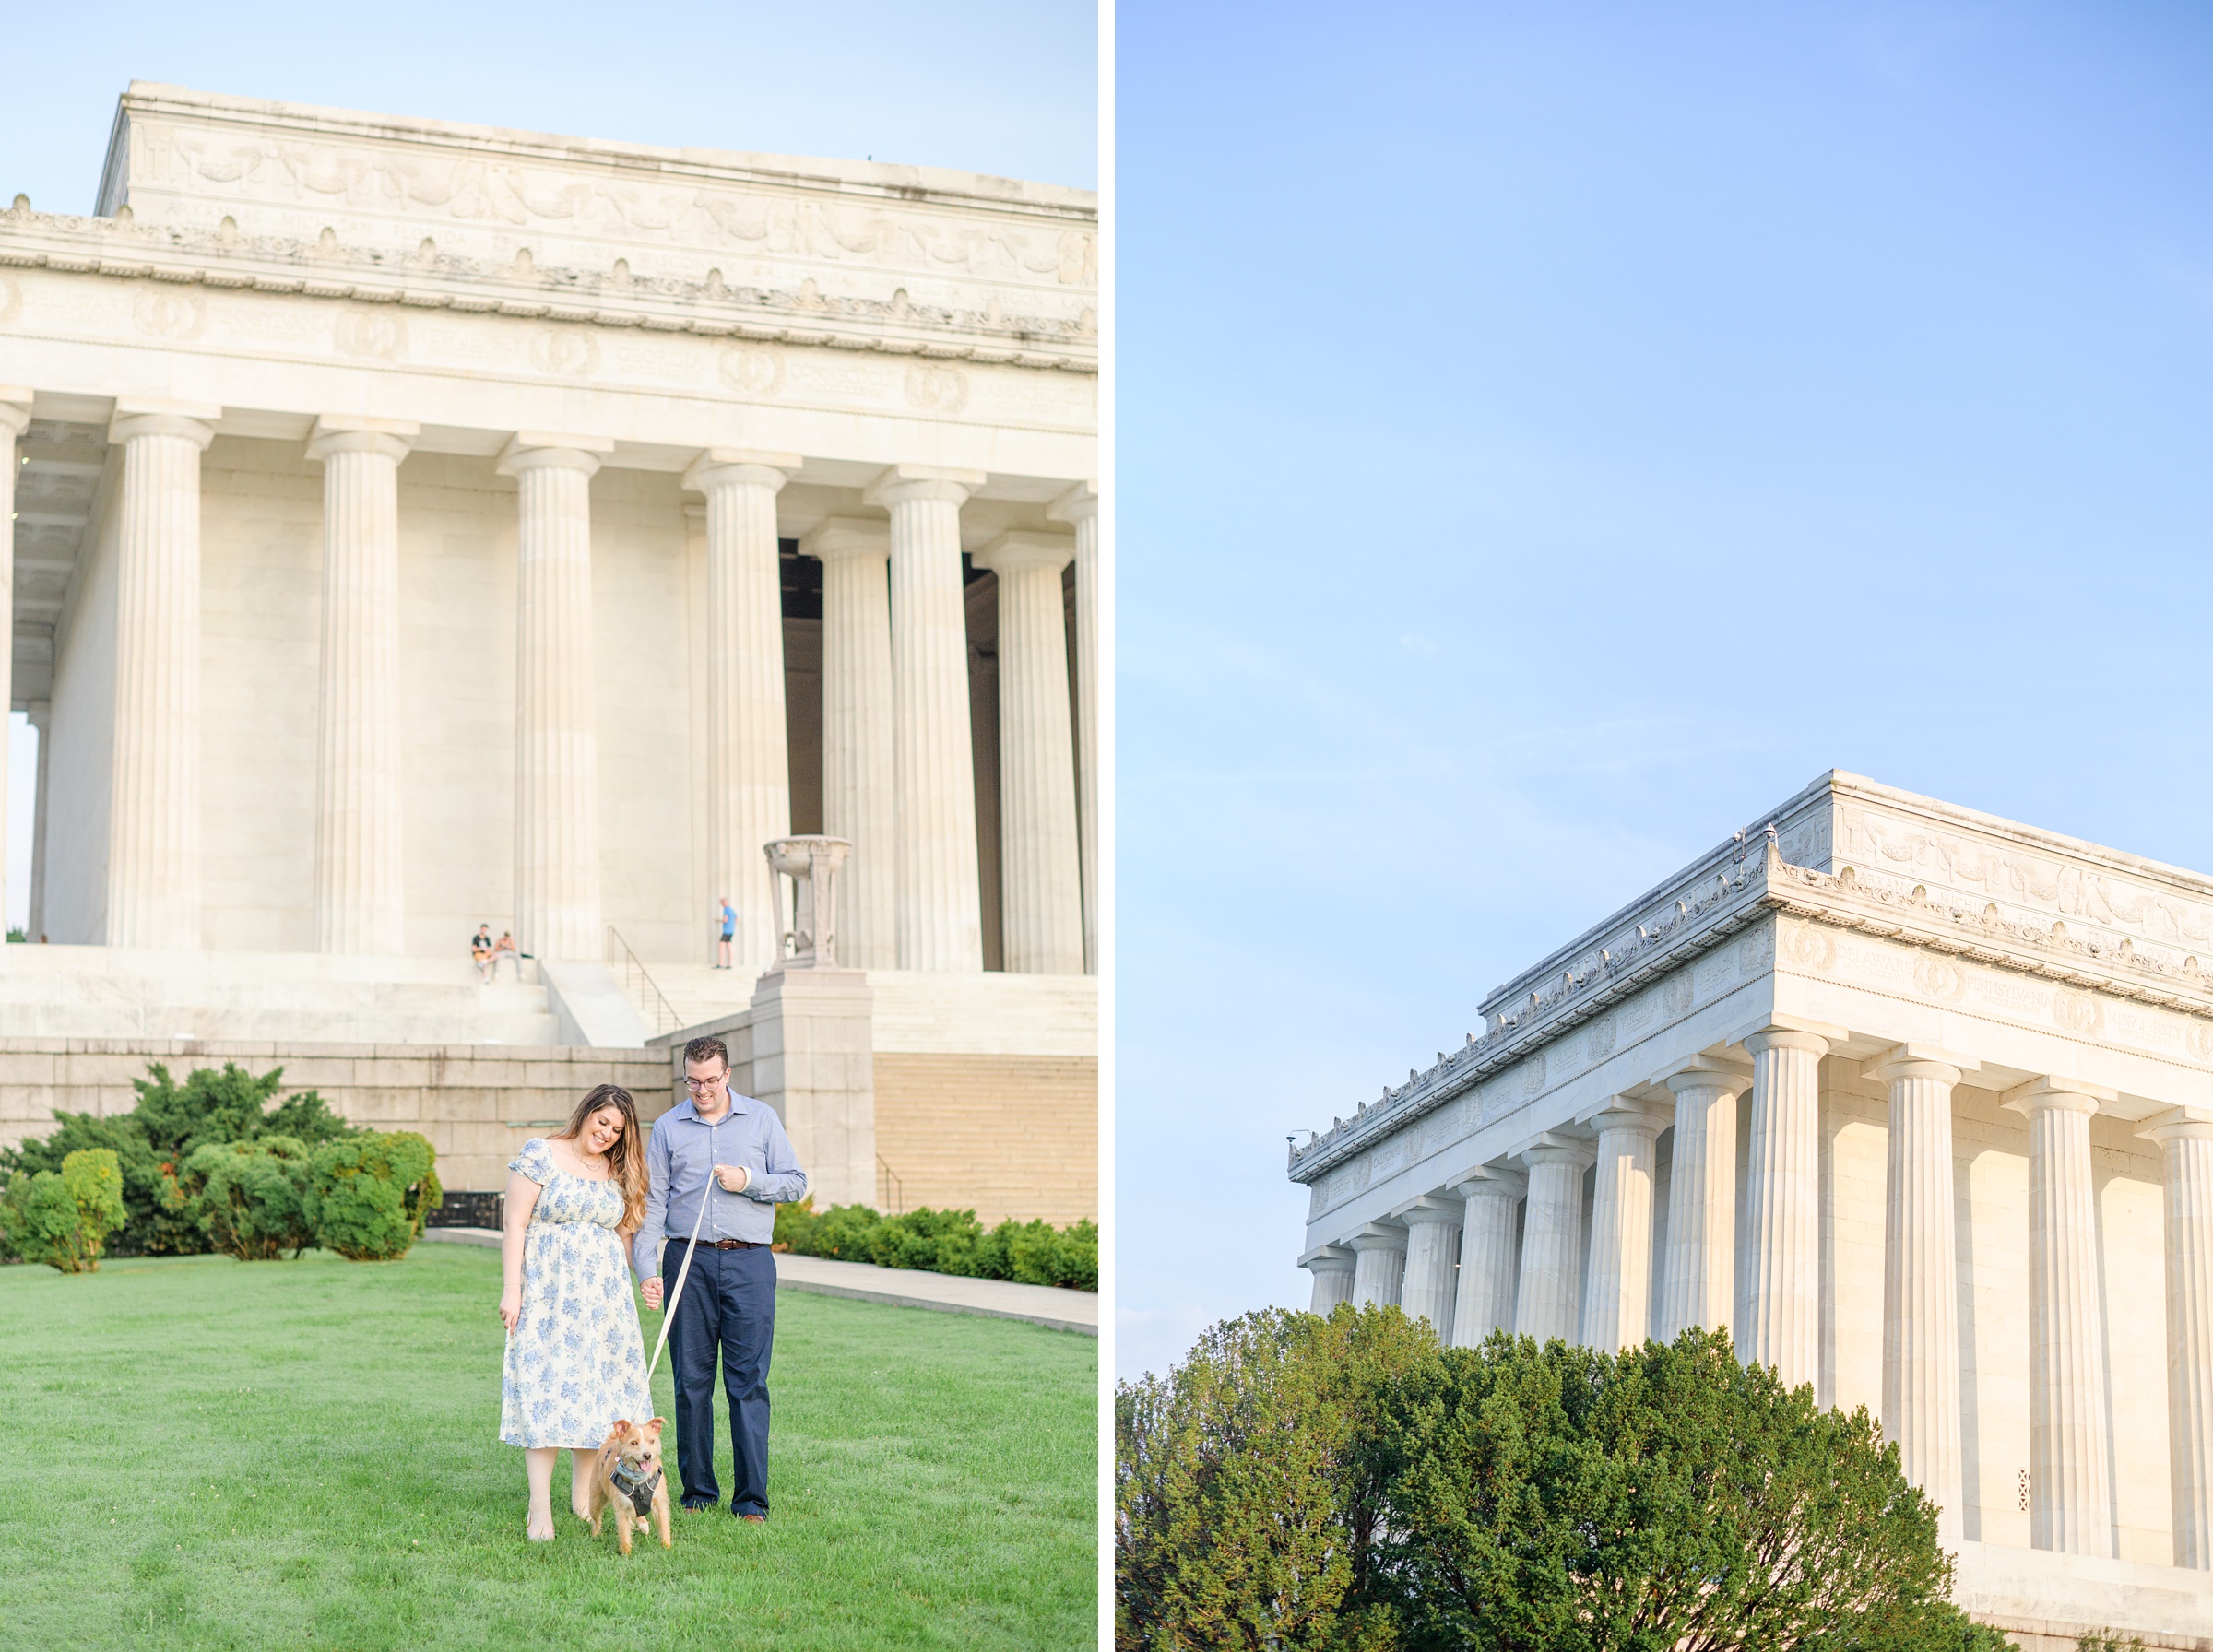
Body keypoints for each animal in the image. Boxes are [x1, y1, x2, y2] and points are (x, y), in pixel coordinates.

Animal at [588, 1415, 664, 1556]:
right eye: (634, 1443)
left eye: (652, 1441)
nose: (647, 1455)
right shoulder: (621, 1505)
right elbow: (624, 1530)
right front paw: (626, 1553)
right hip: (595, 1499)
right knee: (596, 1519)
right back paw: (595, 1535)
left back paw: (643, 1524)